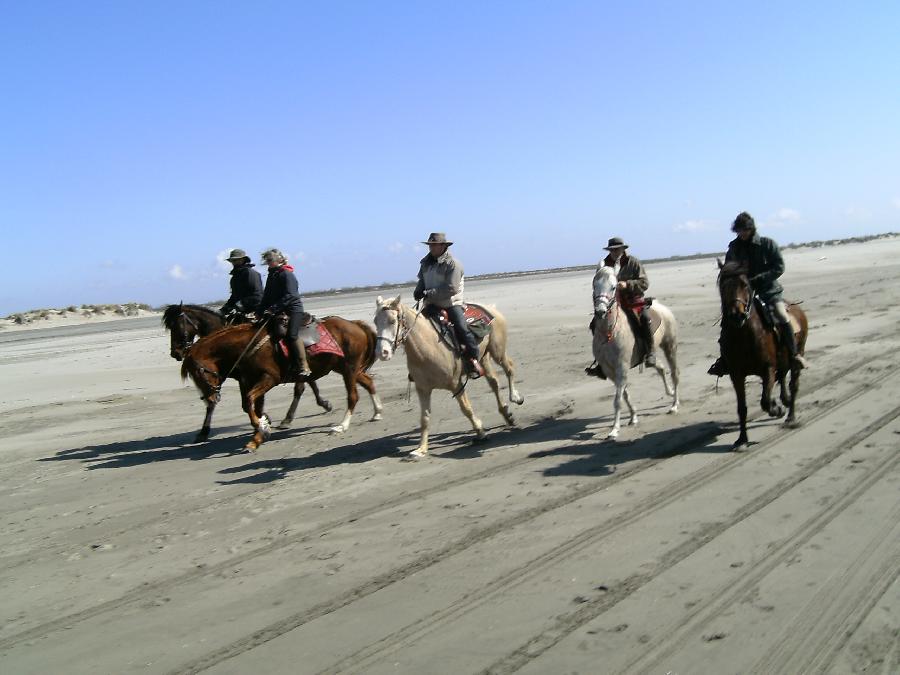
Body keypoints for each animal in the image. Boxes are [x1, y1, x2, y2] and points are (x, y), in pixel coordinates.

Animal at [162, 304, 334, 430]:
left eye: (177, 326)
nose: (175, 353)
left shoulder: (244, 377)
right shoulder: (242, 377)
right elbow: (244, 402)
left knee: (300, 387)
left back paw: (290, 417)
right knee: (307, 381)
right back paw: (322, 404)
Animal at [181, 318, 382, 454]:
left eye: (198, 373)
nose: (210, 398)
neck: (247, 346)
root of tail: (355, 324)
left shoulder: (269, 378)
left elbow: (249, 402)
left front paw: (262, 427)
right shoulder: (249, 380)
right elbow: (251, 406)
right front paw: (258, 435)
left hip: (349, 369)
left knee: (353, 396)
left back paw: (341, 426)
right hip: (345, 369)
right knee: (368, 383)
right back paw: (377, 412)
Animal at [374, 296, 528, 460]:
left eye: (392, 321)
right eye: (375, 321)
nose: (382, 352)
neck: (428, 346)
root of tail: (490, 308)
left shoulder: (456, 384)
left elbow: (466, 409)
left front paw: (480, 432)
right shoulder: (423, 389)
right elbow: (424, 418)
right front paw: (420, 449)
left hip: (497, 351)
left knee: (509, 369)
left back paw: (516, 397)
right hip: (483, 358)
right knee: (494, 382)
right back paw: (507, 414)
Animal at [592, 266, 684, 440]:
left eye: (613, 287)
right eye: (594, 286)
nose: (600, 311)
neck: (610, 331)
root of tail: (662, 308)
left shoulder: (621, 367)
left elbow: (618, 400)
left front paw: (614, 430)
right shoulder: (610, 370)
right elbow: (624, 394)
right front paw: (633, 417)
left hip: (670, 346)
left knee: (675, 373)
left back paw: (674, 405)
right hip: (651, 354)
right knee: (660, 367)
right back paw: (669, 392)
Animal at [716, 262, 808, 452]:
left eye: (745, 284)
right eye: (722, 286)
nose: (736, 315)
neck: (744, 334)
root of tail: (797, 308)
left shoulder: (768, 369)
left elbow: (765, 400)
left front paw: (776, 409)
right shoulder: (736, 374)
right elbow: (742, 408)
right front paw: (742, 440)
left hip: (797, 355)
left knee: (793, 384)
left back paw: (790, 416)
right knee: (783, 378)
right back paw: (785, 401)